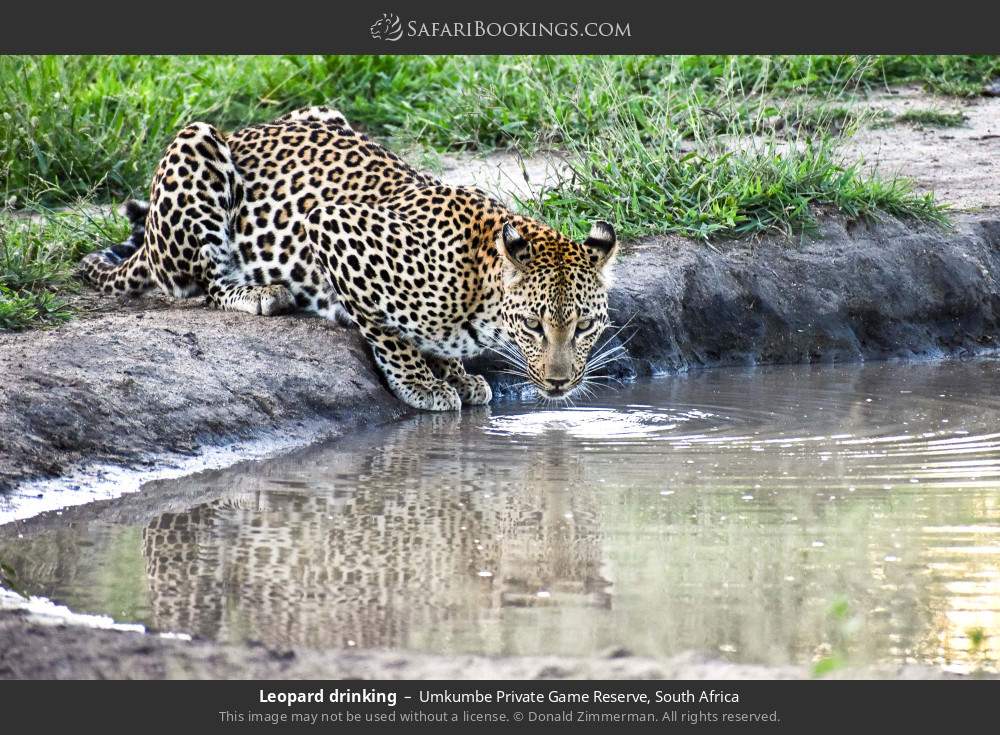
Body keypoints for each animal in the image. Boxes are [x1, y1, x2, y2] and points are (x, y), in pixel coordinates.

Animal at [79, 106, 621, 411]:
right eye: (532, 326)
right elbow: (388, 332)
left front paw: (456, 373)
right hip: (197, 144)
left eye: (585, 326)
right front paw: (422, 383)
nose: (560, 383)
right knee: (203, 282)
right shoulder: (331, 224)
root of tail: (244, 131)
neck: (477, 290)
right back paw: (259, 292)